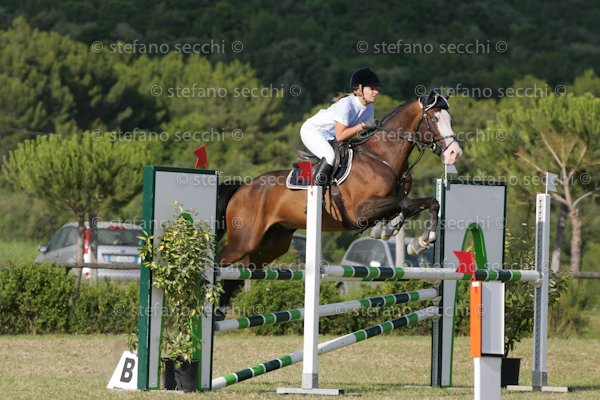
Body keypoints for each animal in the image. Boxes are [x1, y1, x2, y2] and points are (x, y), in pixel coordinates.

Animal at [216, 90, 462, 309]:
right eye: (435, 118)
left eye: (450, 119)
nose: (454, 153)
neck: (382, 158)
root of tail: (243, 187)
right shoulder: (361, 212)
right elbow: (406, 204)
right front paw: (415, 238)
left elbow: (427, 203)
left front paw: (414, 239)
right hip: (244, 240)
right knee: (220, 263)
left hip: (270, 245)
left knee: (237, 275)